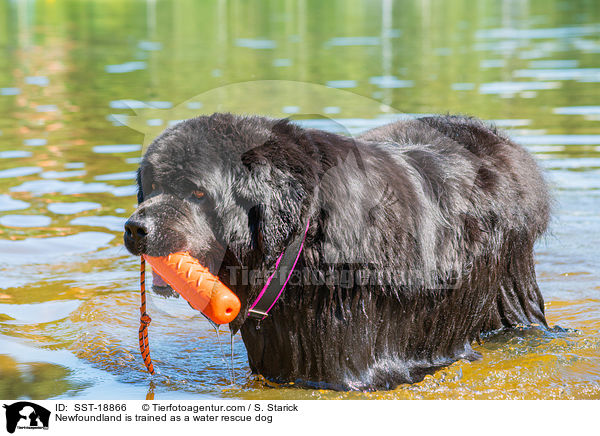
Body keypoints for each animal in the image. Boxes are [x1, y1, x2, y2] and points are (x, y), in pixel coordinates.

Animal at [124, 111, 552, 388]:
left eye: (197, 193)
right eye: (153, 184)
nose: (135, 228)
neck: (300, 243)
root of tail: (504, 143)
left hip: (510, 290)